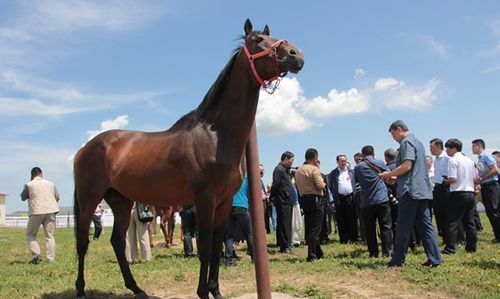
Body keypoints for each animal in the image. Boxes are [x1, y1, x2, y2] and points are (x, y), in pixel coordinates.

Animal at [72, 19, 302, 299]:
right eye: (257, 40)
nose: (296, 55)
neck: (215, 135)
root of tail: (85, 149)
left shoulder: (223, 202)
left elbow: (216, 244)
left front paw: (216, 291)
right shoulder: (205, 199)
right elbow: (204, 247)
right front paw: (203, 291)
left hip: (121, 201)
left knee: (116, 240)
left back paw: (137, 288)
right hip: (89, 199)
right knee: (83, 241)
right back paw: (81, 290)